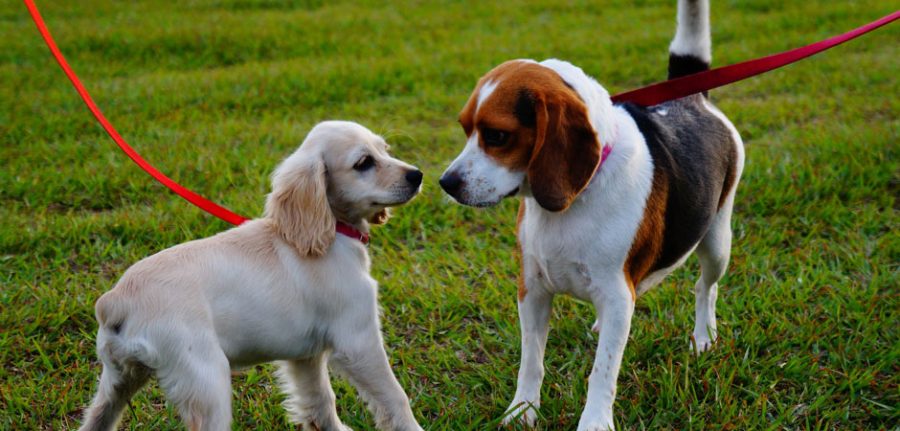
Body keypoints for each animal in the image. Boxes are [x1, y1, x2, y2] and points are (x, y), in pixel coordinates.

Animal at [80, 120, 426, 431]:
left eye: (385, 150)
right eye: (364, 163)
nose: (418, 175)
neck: (332, 233)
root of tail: (115, 300)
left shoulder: (306, 356)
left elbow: (319, 402)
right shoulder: (358, 339)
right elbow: (395, 398)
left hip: (117, 383)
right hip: (208, 383)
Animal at [440, 1, 740, 430]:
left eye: (497, 136)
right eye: (465, 129)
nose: (446, 183)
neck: (574, 200)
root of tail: (692, 99)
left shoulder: (615, 294)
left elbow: (603, 371)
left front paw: (595, 421)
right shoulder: (532, 288)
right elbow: (531, 360)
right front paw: (522, 410)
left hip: (717, 243)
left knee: (705, 287)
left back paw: (703, 337)